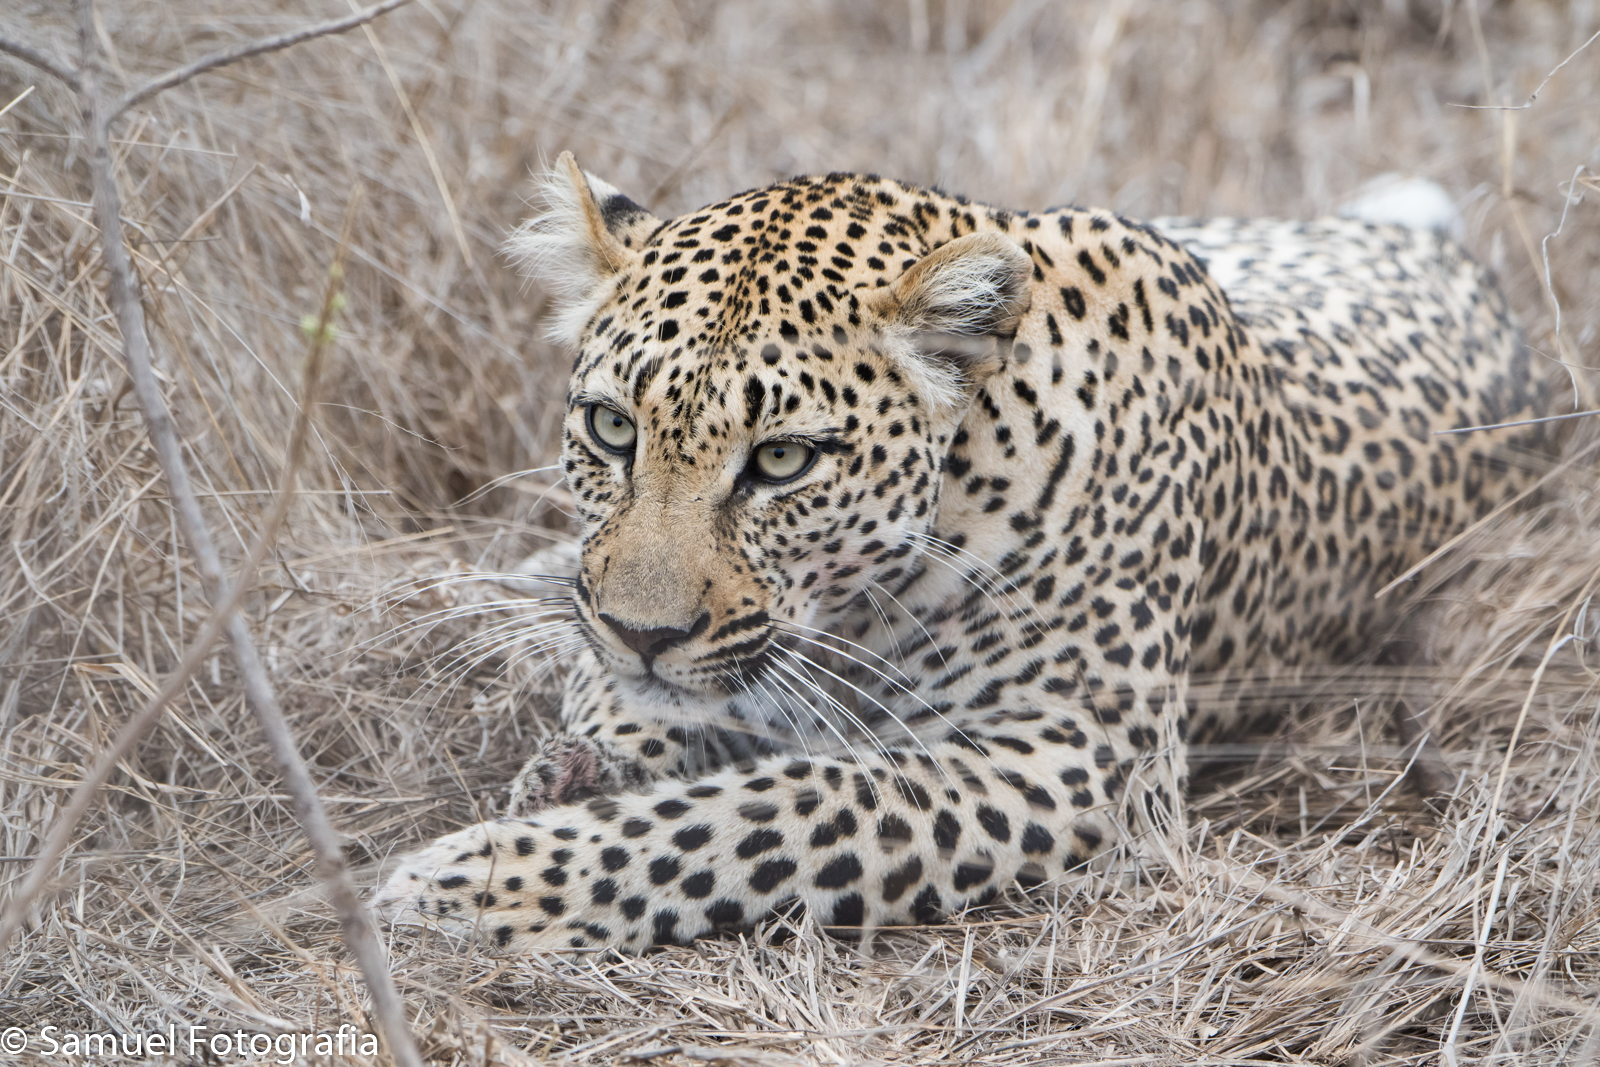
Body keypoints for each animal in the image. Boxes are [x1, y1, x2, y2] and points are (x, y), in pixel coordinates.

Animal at [376, 153, 1548, 952]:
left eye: (783, 460)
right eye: (612, 428)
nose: (641, 633)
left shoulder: (1079, 760)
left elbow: (774, 811)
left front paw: (473, 881)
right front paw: (578, 748)